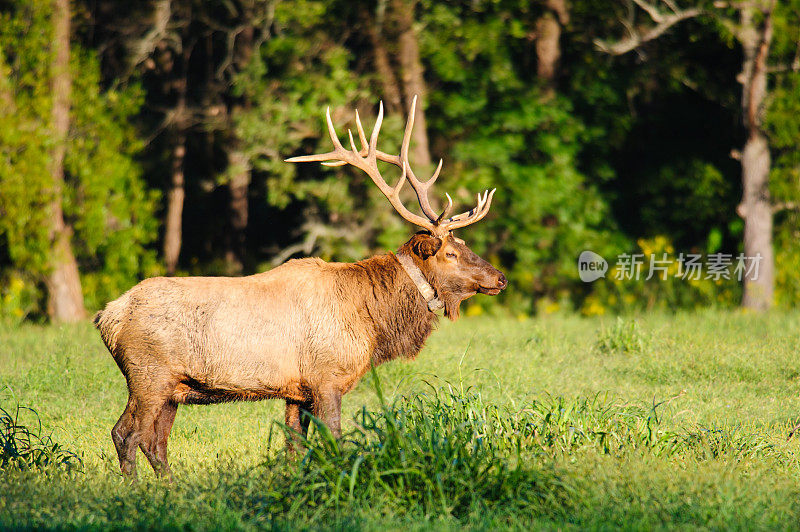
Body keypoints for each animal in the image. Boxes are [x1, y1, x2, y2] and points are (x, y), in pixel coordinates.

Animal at [94, 97, 506, 480]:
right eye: (451, 252)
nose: (500, 277)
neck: (372, 322)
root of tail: (107, 316)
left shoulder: (298, 390)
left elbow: (296, 448)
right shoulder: (327, 378)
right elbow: (334, 443)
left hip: (172, 388)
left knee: (155, 442)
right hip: (147, 376)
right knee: (125, 434)